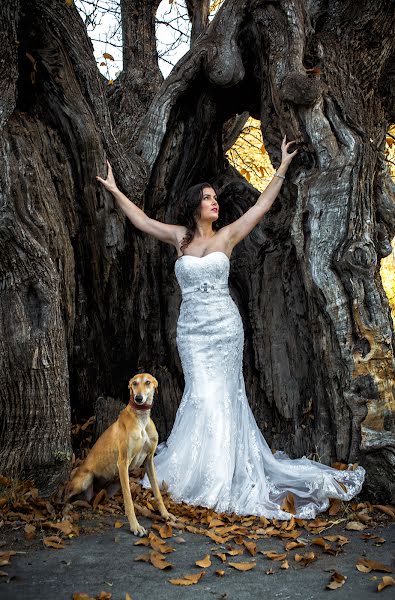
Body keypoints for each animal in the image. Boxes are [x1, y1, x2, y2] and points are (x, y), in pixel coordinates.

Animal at [65, 372, 175, 536]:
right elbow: (129, 500)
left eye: (148, 382)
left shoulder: (149, 460)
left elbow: (157, 491)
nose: (138, 398)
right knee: (65, 496)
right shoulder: (123, 462)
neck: (141, 418)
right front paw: (135, 526)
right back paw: (64, 511)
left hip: (112, 485)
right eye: (134, 383)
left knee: (91, 499)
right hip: (84, 480)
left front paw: (165, 514)